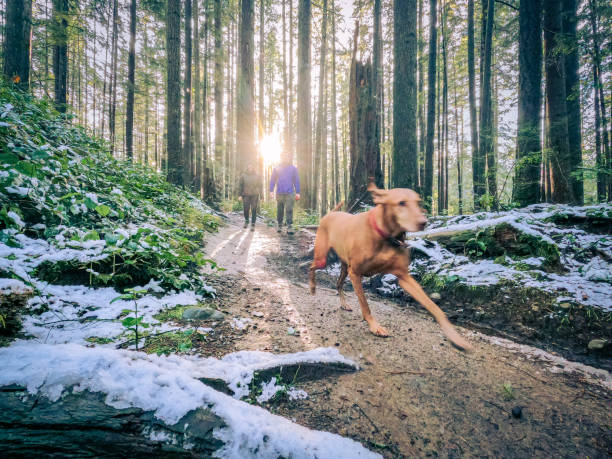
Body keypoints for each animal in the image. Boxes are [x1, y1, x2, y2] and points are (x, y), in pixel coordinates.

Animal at [310, 182, 474, 352]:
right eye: (401, 203)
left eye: (419, 202)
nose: (423, 222)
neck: (384, 235)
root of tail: (330, 214)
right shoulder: (355, 273)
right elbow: (365, 305)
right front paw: (375, 326)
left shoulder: (404, 277)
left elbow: (434, 307)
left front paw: (454, 336)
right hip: (323, 258)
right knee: (311, 267)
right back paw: (313, 288)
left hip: (343, 267)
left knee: (338, 284)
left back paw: (343, 304)